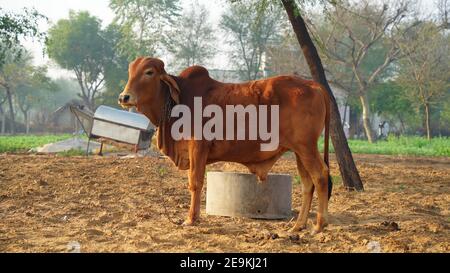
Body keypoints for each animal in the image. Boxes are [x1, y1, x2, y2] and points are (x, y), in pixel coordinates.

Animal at [118, 56, 332, 232]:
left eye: (149, 72)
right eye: (130, 71)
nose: (124, 97)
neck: (177, 102)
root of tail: (313, 85)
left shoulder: (198, 147)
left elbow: (195, 182)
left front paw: (191, 219)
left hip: (306, 148)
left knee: (320, 175)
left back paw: (318, 225)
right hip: (299, 151)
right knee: (307, 184)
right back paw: (298, 225)